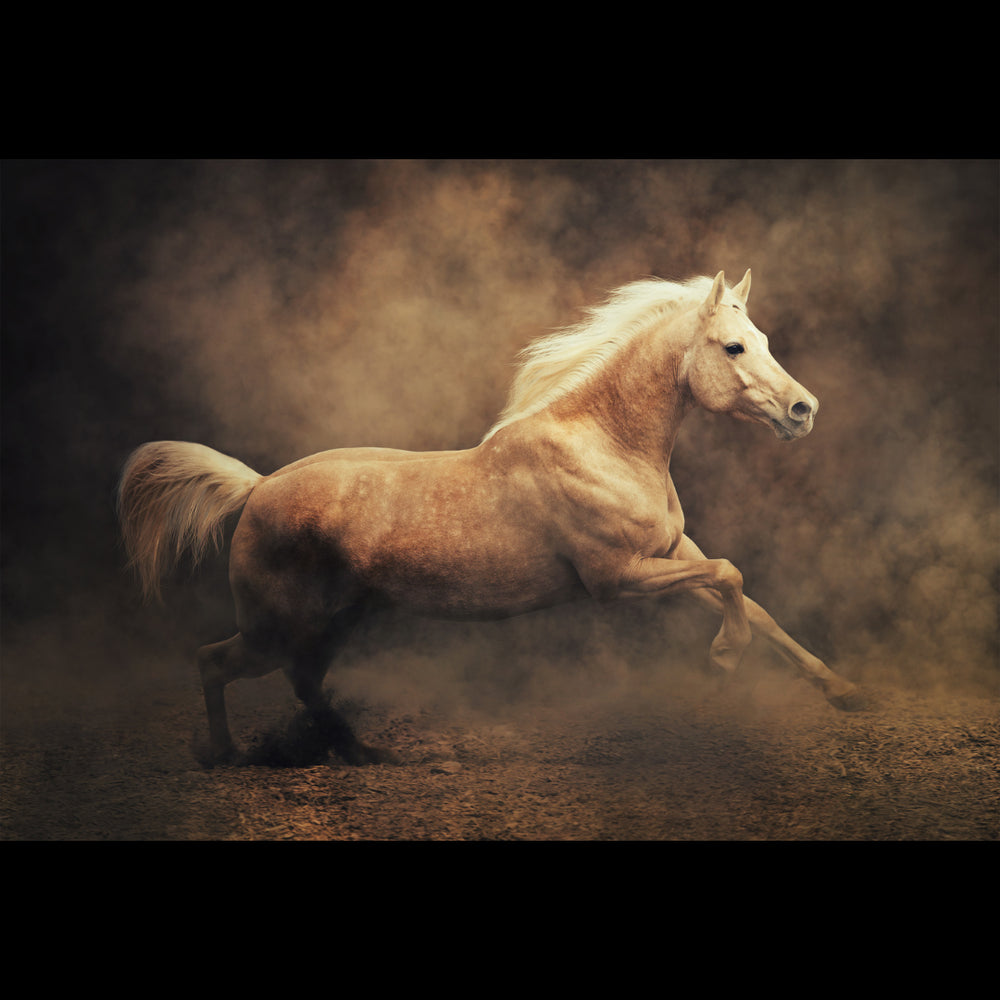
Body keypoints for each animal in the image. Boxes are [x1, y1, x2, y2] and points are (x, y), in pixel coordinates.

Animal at [117, 269, 864, 764]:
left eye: (763, 338)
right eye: (733, 347)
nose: (804, 410)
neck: (603, 444)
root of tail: (257, 487)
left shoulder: (672, 554)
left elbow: (750, 599)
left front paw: (844, 691)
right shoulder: (616, 578)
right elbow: (733, 576)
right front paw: (723, 658)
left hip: (333, 620)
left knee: (303, 681)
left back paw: (359, 751)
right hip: (277, 625)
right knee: (214, 662)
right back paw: (229, 755)